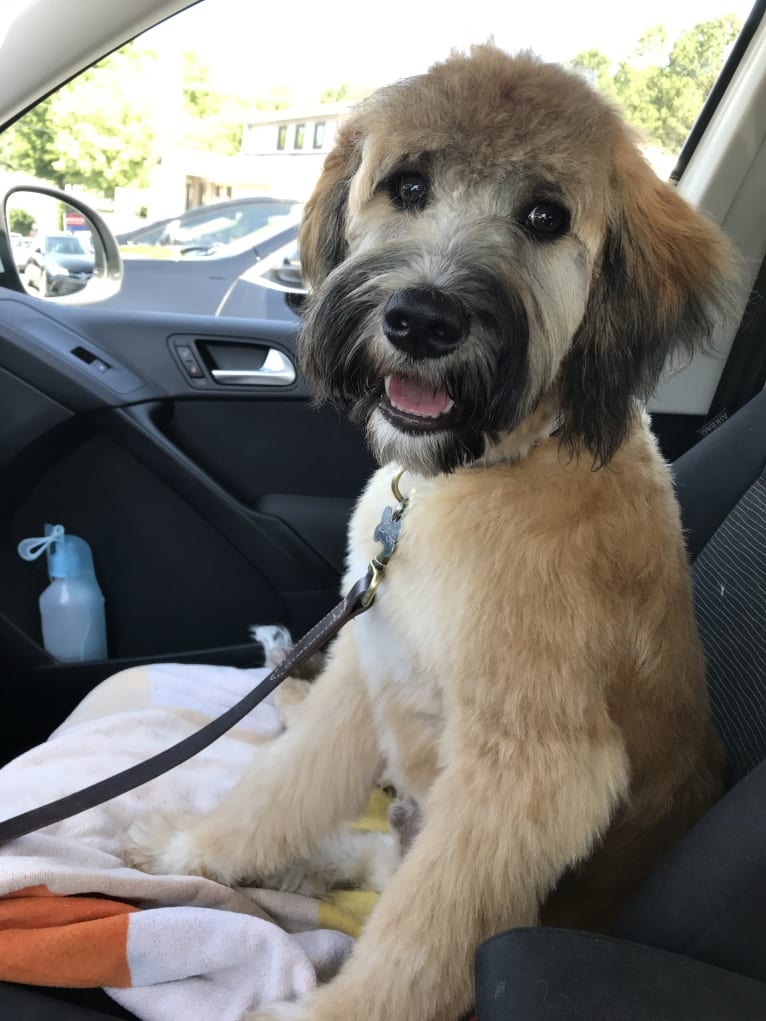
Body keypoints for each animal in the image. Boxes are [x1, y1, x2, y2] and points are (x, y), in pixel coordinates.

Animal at [127, 43, 739, 1016]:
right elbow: (280, 785)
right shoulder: (362, 663)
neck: (487, 469)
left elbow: (427, 928)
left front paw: (336, 1011)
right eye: (408, 185)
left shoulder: (531, 769)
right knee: (368, 854)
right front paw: (197, 849)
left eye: (545, 216)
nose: (421, 319)